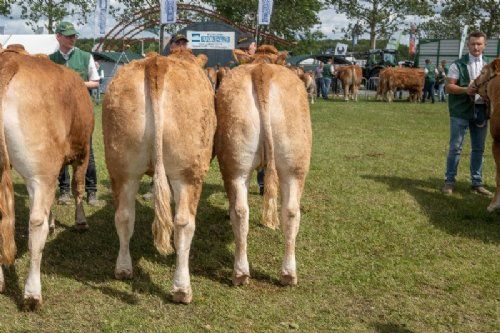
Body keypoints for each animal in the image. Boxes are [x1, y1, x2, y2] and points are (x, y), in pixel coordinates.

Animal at [102, 47, 216, 304]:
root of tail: (156, 64)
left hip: (122, 167)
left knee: (124, 216)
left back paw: (123, 269)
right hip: (188, 172)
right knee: (183, 222)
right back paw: (182, 289)